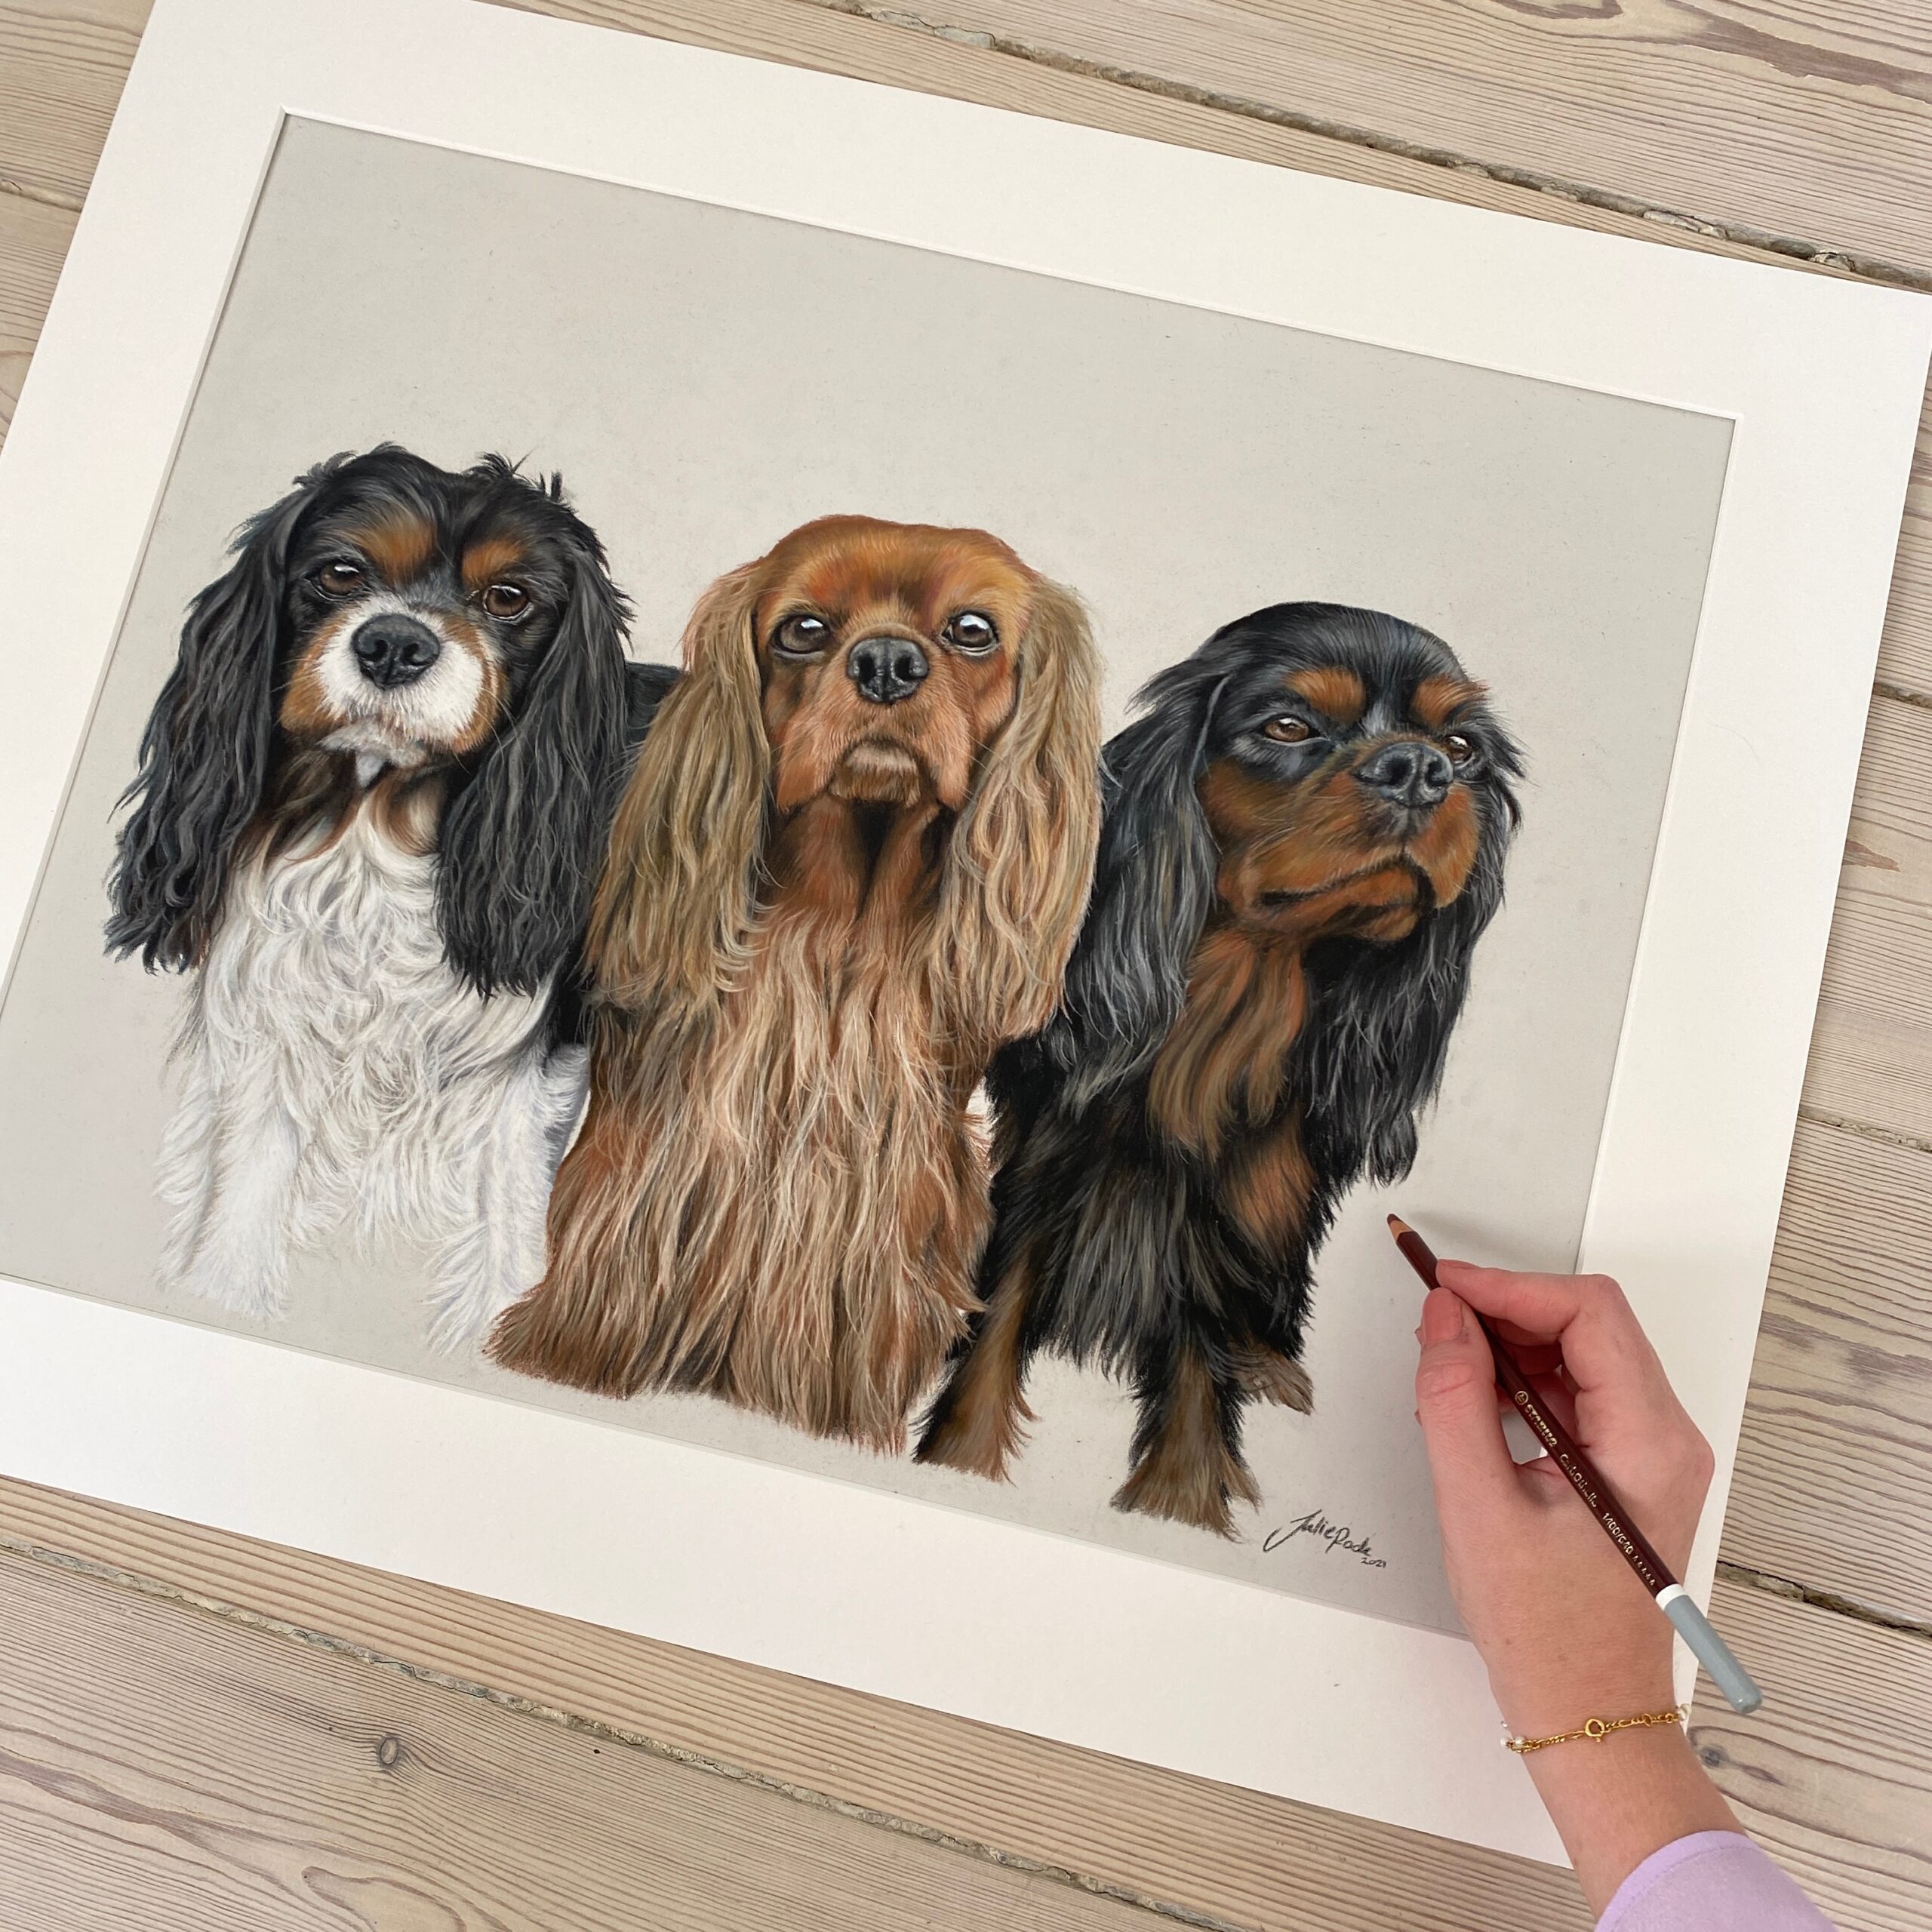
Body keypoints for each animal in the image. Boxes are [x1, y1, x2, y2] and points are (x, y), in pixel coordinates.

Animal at [105, 445, 673, 1347]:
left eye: (508, 597)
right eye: (339, 572)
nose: (396, 642)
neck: (371, 833)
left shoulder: (521, 1087)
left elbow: (504, 1248)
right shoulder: (274, 1037)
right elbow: (240, 1212)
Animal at [916, 603, 1521, 1533]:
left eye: (1460, 748)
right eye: (1288, 726)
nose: (1420, 770)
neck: (1232, 1005)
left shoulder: (1232, 1216)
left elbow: (1202, 1364)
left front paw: (1181, 1504)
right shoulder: (1043, 1171)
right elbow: (996, 1326)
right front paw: (958, 1459)